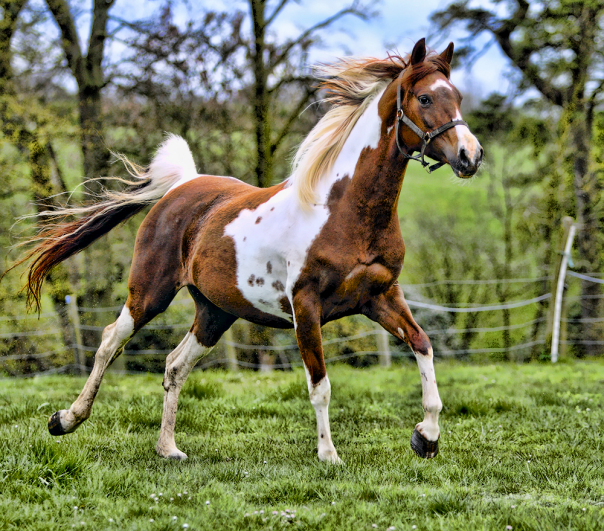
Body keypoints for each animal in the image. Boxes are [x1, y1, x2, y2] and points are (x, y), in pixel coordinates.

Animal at [17, 38, 482, 462]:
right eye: (424, 97)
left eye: (457, 96)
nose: (470, 156)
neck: (345, 210)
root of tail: (183, 184)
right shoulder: (306, 306)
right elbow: (321, 385)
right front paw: (329, 455)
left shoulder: (381, 296)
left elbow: (423, 345)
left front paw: (426, 437)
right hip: (149, 293)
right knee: (110, 342)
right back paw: (65, 420)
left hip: (215, 311)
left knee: (174, 365)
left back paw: (168, 449)